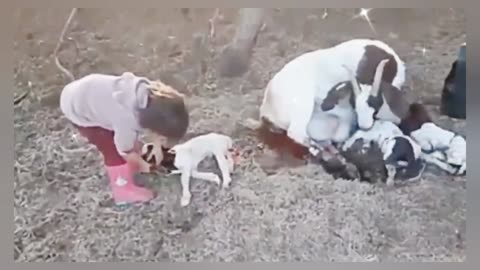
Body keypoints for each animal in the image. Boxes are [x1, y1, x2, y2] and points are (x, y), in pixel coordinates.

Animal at [253, 38, 406, 156]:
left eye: (375, 102)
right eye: (354, 103)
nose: (364, 126)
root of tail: (265, 111)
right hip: (302, 106)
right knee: (296, 132)